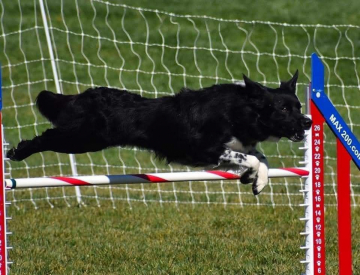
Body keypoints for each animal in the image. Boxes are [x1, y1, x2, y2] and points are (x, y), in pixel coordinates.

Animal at [5, 71, 310, 196]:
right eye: (284, 109)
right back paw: (16, 152)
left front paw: (256, 181)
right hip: (83, 139)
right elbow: (254, 158)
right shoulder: (204, 148)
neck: (241, 111)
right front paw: (253, 177)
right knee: (45, 137)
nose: (308, 122)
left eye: (299, 106)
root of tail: (84, 95)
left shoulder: (237, 146)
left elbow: (260, 159)